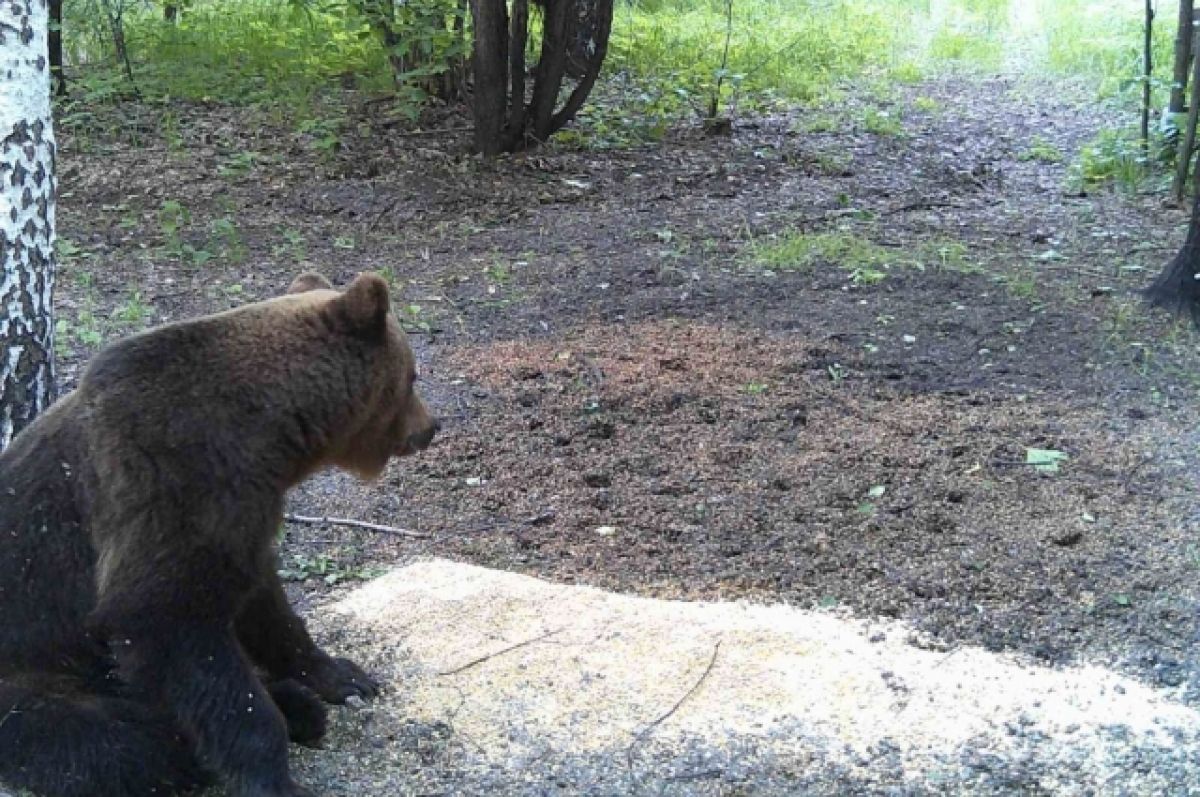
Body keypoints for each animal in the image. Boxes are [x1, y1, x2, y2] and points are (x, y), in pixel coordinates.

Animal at [0, 271, 436, 792]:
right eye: (412, 376)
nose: (431, 426)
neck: (269, 436)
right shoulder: (173, 485)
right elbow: (170, 622)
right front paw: (274, 776)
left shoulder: (242, 516)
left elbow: (265, 603)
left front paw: (342, 675)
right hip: (35, 670)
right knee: (108, 740)